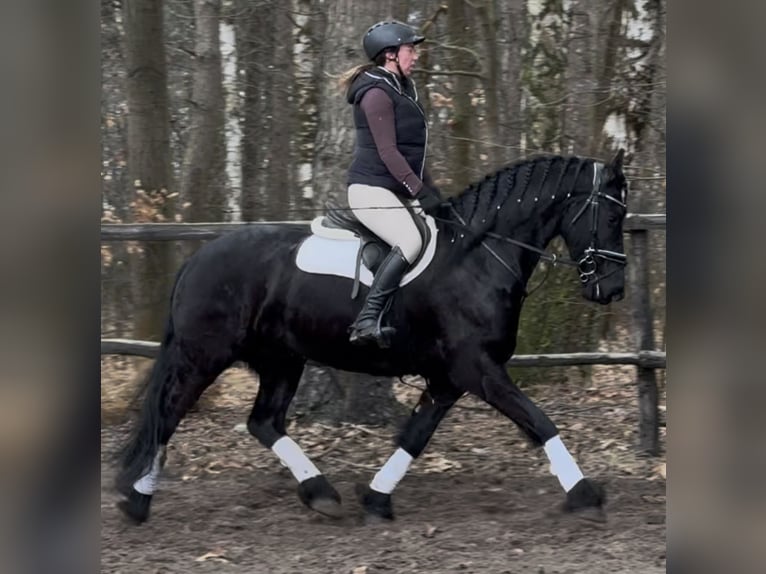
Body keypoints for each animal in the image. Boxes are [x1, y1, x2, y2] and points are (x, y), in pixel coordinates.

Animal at [114, 152, 632, 528]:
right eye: (609, 215)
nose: (612, 290)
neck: (480, 258)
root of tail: (199, 256)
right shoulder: (477, 368)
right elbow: (540, 422)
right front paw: (586, 496)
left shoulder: (449, 378)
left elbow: (415, 436)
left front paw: (377, 499)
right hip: (205, 354)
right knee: (169, 414)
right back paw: (137, 501)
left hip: (281, 359)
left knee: (262, 422)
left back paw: (321, 494)